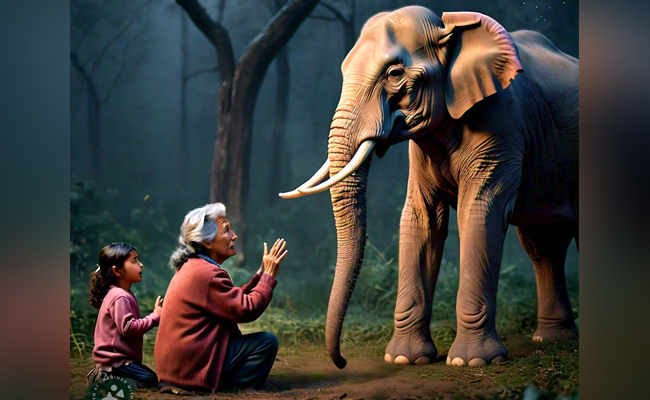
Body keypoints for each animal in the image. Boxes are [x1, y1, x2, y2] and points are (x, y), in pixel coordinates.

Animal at [280, 6, 578, 368]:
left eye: (394, 73)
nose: (342, 361)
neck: (447, 30)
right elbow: (421, 218)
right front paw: (404, 359)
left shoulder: (502, 123)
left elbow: (479, 210)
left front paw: (470, 362)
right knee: (543, 245)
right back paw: (551, 340)